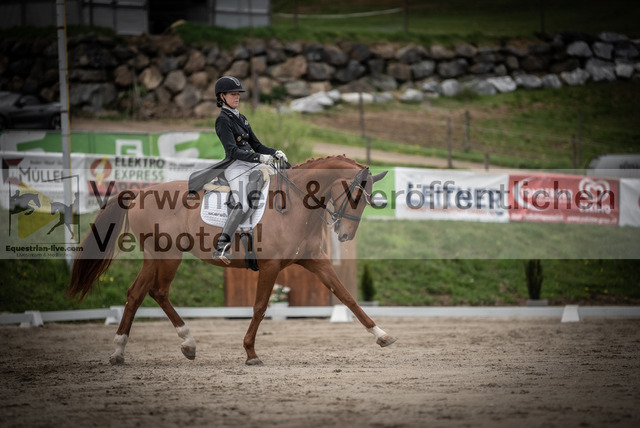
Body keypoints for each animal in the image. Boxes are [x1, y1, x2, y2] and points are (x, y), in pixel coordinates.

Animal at [67, 155, 396, 365]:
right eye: (354, 195)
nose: (345, 235)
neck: (295, 206)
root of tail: (138, 194)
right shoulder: (270, 267)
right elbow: (260, 307)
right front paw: (251, 353)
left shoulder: (317, 262)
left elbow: (347, 297)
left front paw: (382, 335)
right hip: (164, 256)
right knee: (149, 292)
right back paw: (152, 347)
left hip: (160, 258)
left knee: (145, 293)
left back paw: (152, 348)